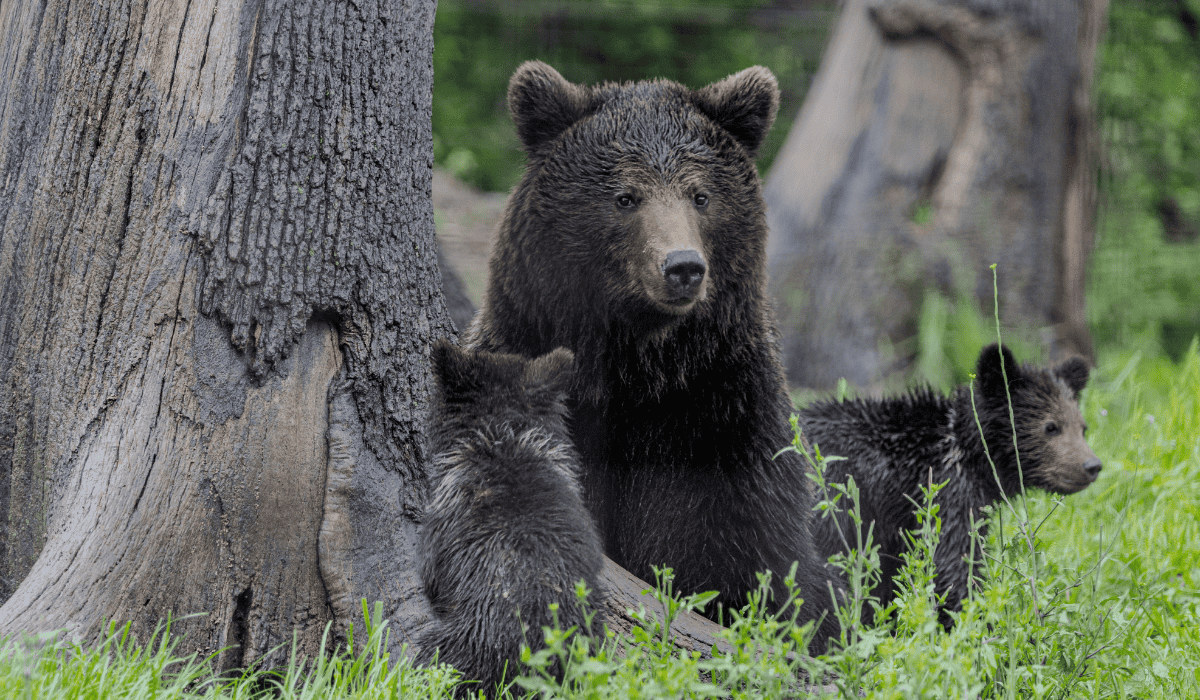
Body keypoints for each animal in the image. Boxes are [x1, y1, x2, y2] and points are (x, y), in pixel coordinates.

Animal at [463, 60, 843, 652]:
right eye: (626, 197)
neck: (637, 368)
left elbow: (764, 565)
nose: (682, 266)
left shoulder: (722, 420)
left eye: (701, 196)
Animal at [799, 343, 1102, 622]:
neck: (970, 451)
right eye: (1051, 427)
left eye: (1082, 427)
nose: (1092, 465)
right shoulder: (945, 493)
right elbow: (953, 564)